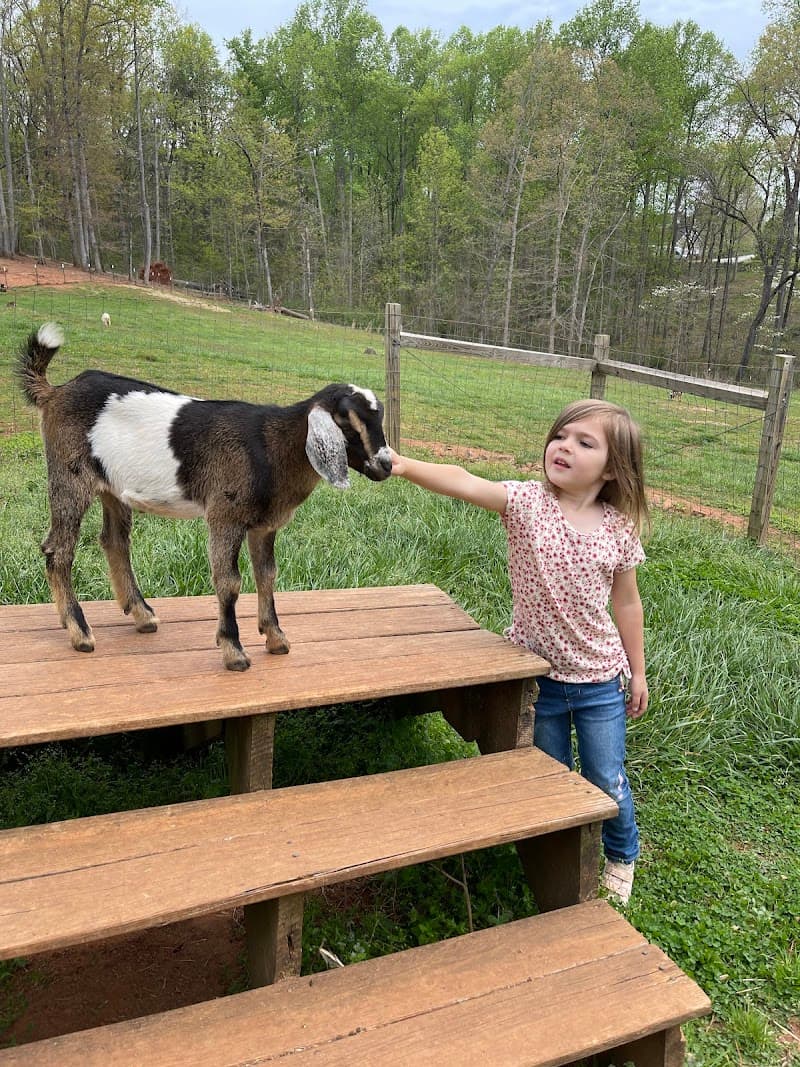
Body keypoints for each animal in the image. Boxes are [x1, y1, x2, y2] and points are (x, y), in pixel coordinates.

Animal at [17, 323, 392, 671]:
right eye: (347, 423)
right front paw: (234, 651)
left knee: (114, 540)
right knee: (59, 549)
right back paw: (79, 632)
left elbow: (267, 574)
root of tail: (55, 392)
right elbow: (229, 581)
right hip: (69, 473)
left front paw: (275, 638)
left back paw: (142, 614)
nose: (386, 465)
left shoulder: (264, 525)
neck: (272, 446)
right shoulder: (224, 514)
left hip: (112, 485)